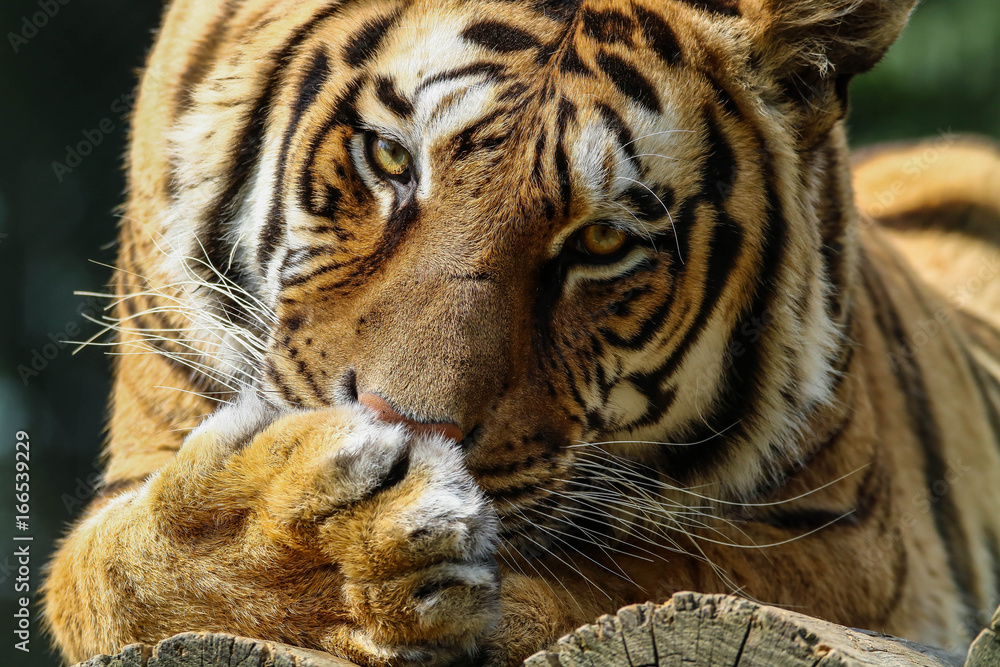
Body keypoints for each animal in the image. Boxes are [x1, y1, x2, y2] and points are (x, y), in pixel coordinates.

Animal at [42, 0, 1000, 665]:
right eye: (389, 158)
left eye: (605, 240)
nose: (405, 423)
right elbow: (113, 570)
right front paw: (317, 542)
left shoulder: (850, 539)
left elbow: (655, 567)